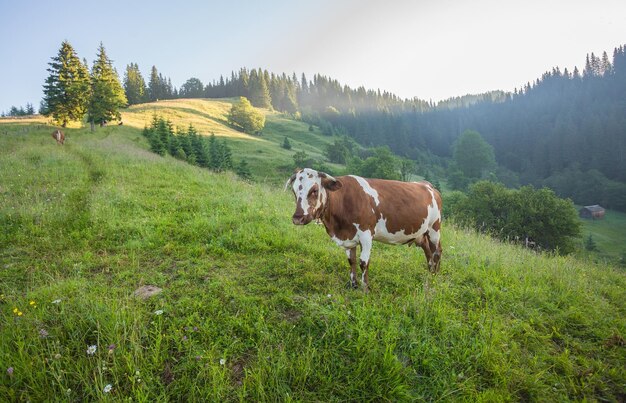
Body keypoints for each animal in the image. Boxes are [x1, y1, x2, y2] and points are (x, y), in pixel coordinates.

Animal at [286, 169, 442, 292]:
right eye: (294, 191)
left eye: (314, 190)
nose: (297, 218)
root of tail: (427, 185)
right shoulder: (348, 237)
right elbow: (351, 261)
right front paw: (353, 284)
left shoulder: (366, 235)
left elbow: (363, 262)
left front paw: (365, 288)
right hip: (421, 233)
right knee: (428, 251)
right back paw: (430, 273)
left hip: (434, 228)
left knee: (436, 252)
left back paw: (434, 279)